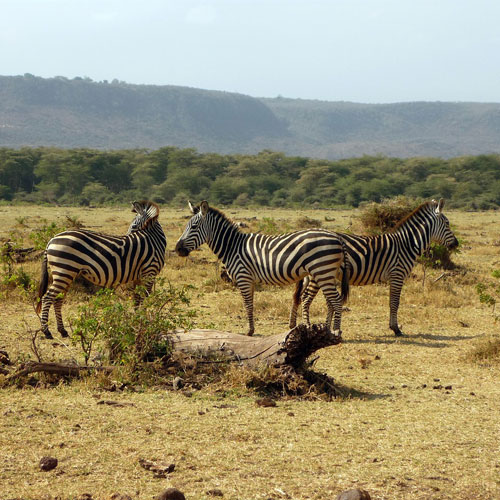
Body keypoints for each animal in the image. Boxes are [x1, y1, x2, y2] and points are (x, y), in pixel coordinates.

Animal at [36, 201, 168, 338]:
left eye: (134, 225)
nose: (127, 236)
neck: (153, 240)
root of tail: (51, 240)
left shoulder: (139, 276)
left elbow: (137, 299)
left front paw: (137, 321)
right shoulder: (150, 272)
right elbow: (145, 298)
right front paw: (144, 322)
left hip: (66, 273)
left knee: (58, 299)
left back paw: (62, 330)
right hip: (63, 271)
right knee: (47, 298)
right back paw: (46, 331)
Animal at [174, 202, 350, 336]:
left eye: (194, 226)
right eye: (187, 226)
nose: (177, 249)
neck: (233, 246)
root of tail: (338, 237)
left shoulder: (243, 277)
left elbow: (247, 304)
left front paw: (249, 331)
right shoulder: (249, 280)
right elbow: (250, 303)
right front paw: (251, 329)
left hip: (322, 271)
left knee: (336, 300)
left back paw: (336, 331)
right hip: (326, 273)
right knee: (331, 300)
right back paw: (327, 329)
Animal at [290, 198, 458, 336]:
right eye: (447, 223)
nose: (456, 244)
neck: (406, 244)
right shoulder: (397, 274)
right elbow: (394, 302)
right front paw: (395, 329)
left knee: (303, 297)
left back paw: (296, 326)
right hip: (319, 273)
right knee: (306, 298)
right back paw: (307, 326)